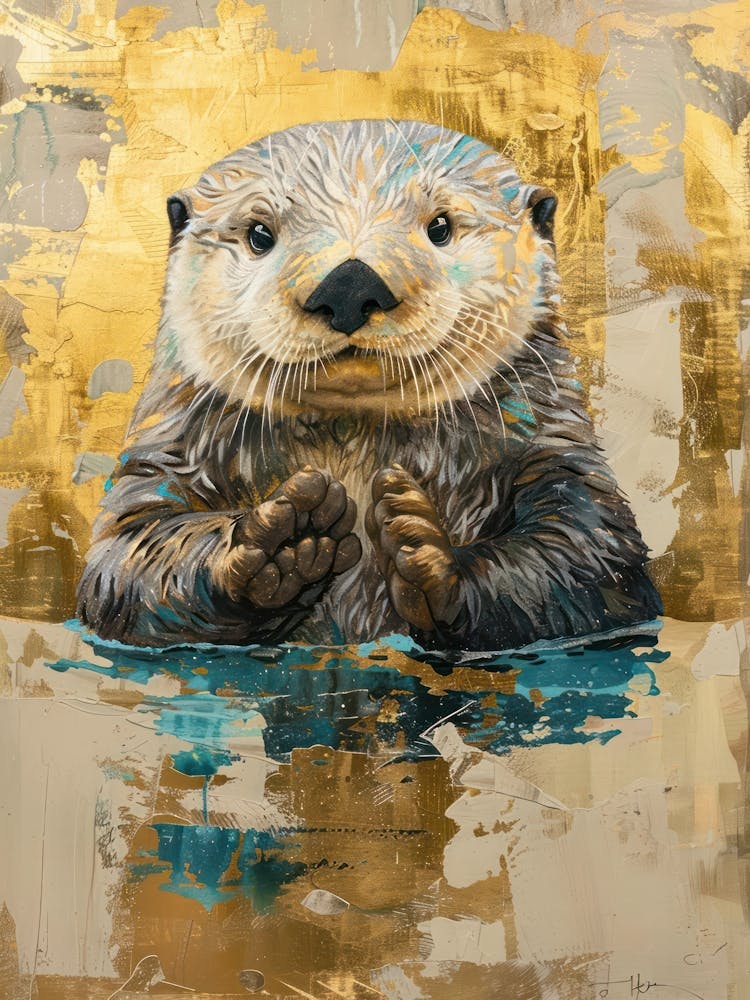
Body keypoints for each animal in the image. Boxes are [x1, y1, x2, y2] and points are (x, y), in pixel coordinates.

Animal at [77, 119, 662, 650]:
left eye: (440, 226)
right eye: (260, 234)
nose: (349, 284)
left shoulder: (552, 447)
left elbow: (587, 554)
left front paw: (425, 551)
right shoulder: (168, 450)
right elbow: (127, 559)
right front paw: (281, 542)